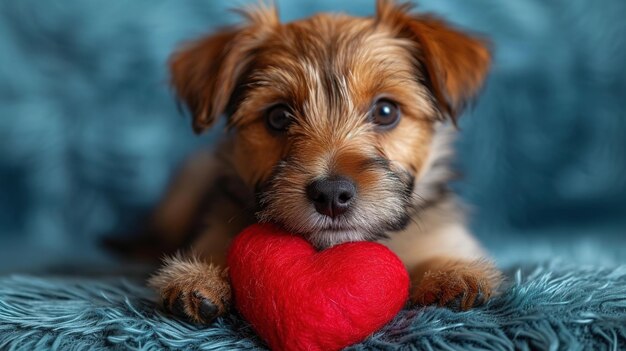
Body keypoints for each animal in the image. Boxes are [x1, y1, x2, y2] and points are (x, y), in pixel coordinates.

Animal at [144, 0, 500, 324]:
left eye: (386, 111)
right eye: (278, 116)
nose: (331, 194)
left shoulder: (444, 234)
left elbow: (438, 253)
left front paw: (451, 274)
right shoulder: (217, 228)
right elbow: (214, 249)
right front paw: (197, 277)